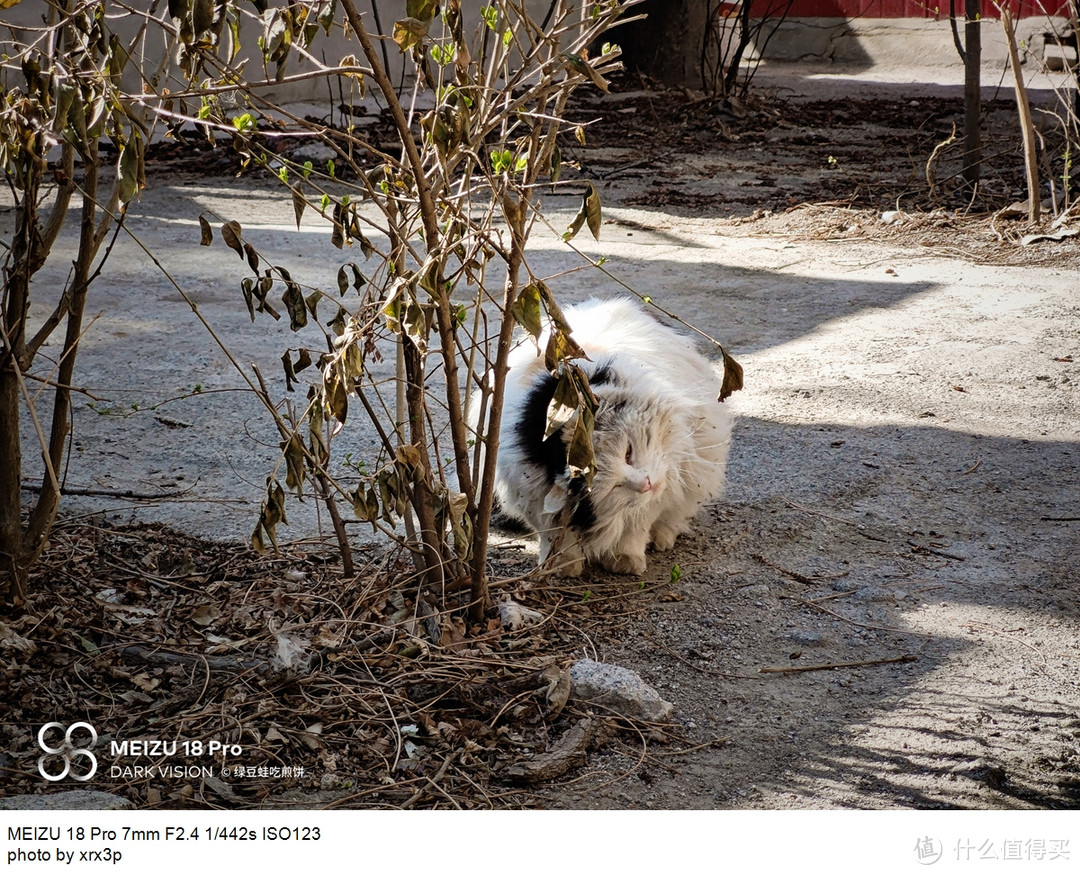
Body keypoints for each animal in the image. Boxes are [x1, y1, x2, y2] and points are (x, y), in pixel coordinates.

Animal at [492, 295, 734, 574]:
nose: (646, 484)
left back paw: (662, 539)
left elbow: (636, 528)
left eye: (628, 452)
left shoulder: (661, 490)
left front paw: (626, 561)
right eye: (612, 485)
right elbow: (556, 537)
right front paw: (560, 566)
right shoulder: (536, 500)